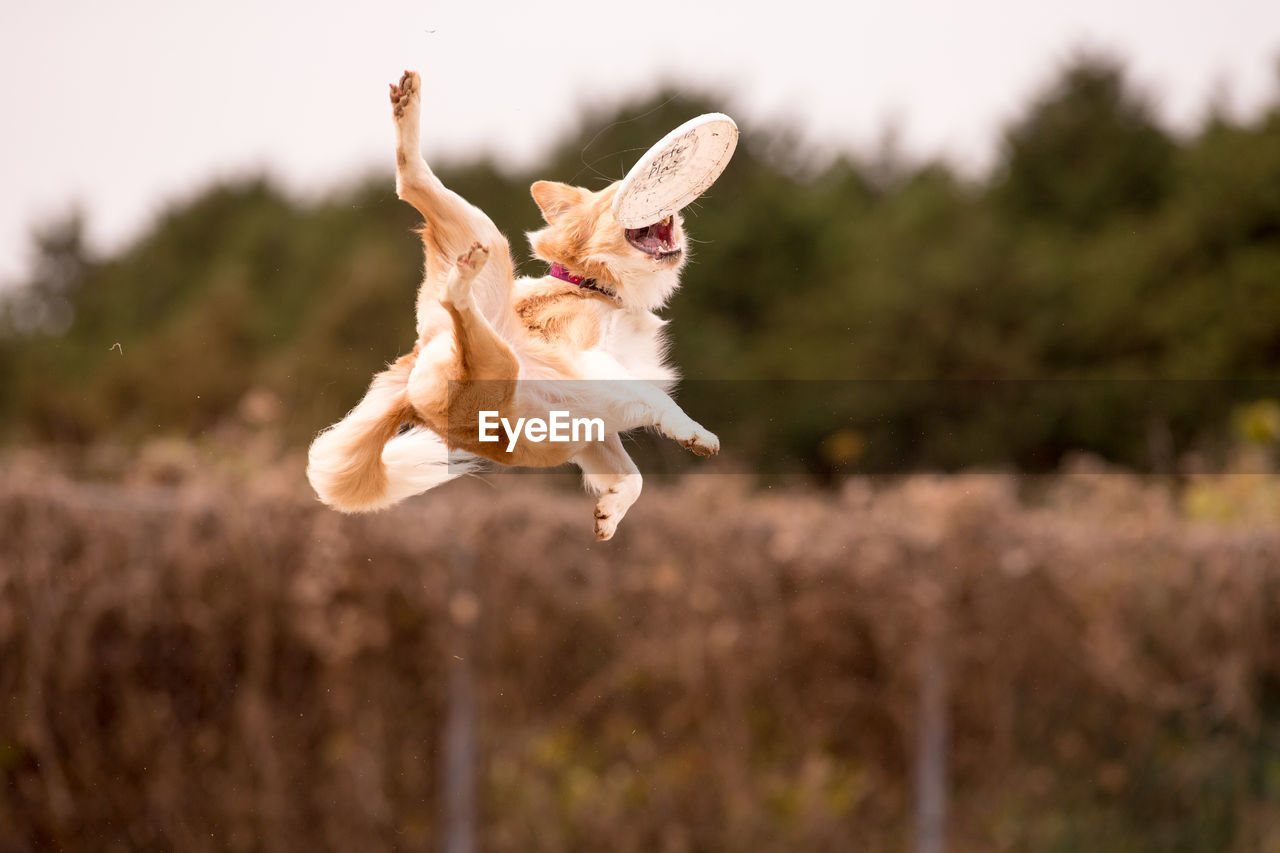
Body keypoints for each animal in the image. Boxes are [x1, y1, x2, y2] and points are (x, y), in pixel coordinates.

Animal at [304, 73, 716, 537]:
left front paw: (610, 513)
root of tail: (410, 369)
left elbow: (633, 476)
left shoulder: (593, 427)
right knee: (416, 198)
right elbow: (654, 398)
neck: (596, 286)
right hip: (498, 338)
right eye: (615, 195)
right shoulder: (587, 362)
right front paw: (693, 433)